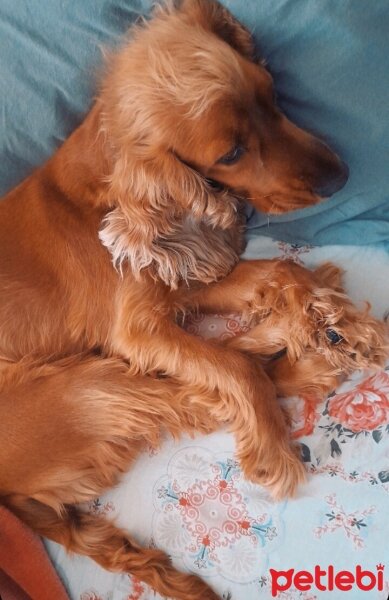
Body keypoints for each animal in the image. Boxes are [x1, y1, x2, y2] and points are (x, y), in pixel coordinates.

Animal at [0, 1, 384, 600]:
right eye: (231, 152)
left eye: (271, 93)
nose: (340, 176)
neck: (103, 181)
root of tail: (11, 501)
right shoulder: (139, 330)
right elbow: (231, 368)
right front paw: (273, 448)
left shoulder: (186, 279)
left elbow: (280, 269)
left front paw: (340, 318)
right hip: (79, 391)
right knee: (207, 392)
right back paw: (310, 363)